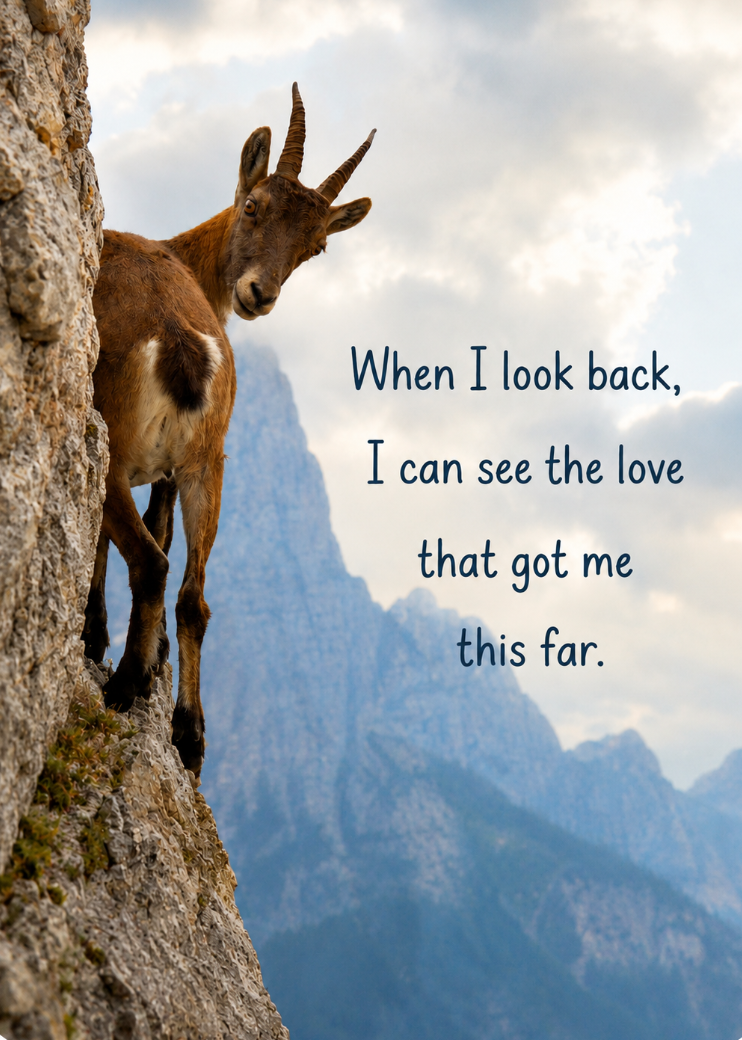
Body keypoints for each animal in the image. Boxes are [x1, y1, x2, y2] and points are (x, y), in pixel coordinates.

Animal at [84, 84, 374, 778]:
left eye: (315, 246)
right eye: (253, 205)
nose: (258, 293)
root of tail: (181, 342)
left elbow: (109, 545)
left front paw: (97, 637)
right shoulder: (169, 471)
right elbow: (158, 532)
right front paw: (150, 653)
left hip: (117, 443)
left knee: (151, 563)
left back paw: (125, 685)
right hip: (208, 463)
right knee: (194, 594)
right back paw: (188, 735)